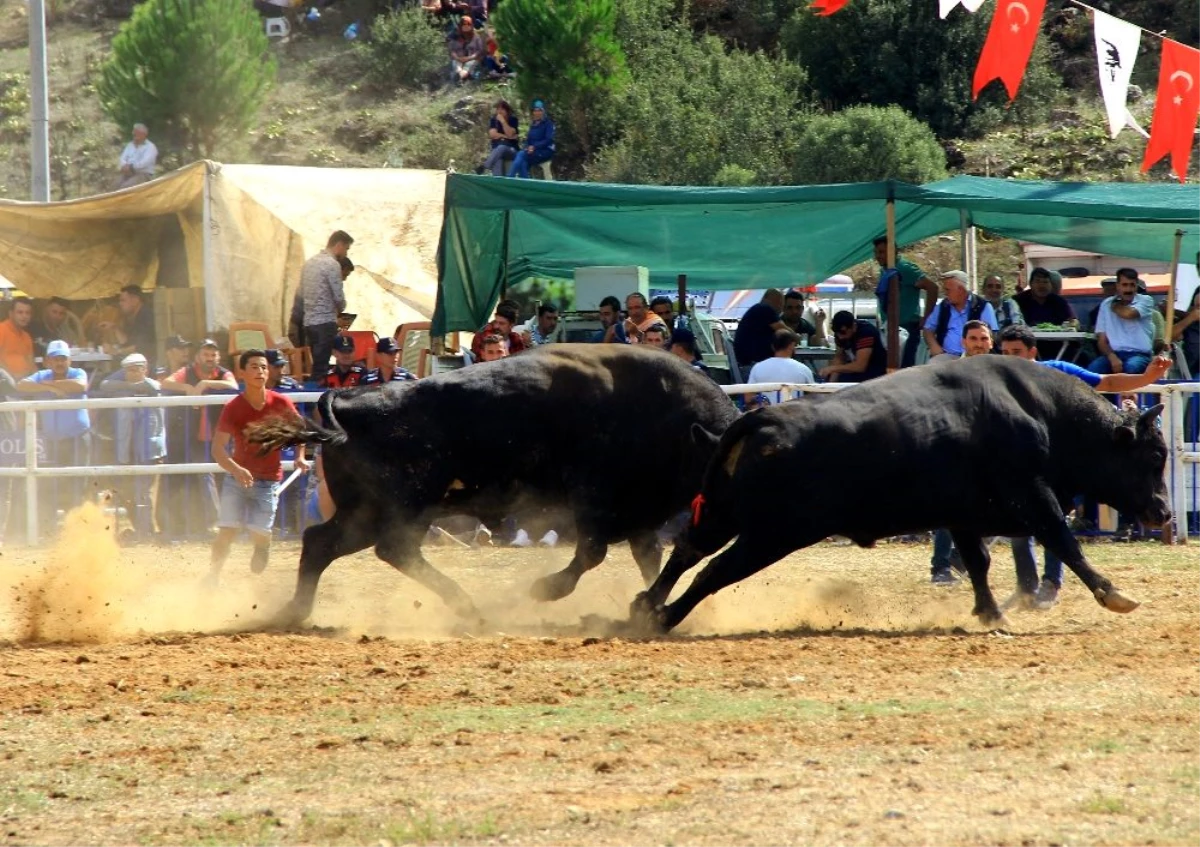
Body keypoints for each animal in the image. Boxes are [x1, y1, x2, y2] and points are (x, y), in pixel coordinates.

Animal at [250, 340, 739, 619]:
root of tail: (349, 398)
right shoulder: (594, 498)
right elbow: (592, 553)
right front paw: (544, 590)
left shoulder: (640, 517)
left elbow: (649, 558)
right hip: (404, 508)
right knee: (389, 549)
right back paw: (467, 606)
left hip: (367, 513)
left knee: (323, 543)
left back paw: (295, 612)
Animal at [633, 355, 1166, 633]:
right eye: (1154, 455)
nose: (1162, 511)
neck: (1038, 411)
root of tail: (759, 418)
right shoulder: (1034, 498)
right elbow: (1065, 543)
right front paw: (1114, 594)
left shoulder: (964, 515)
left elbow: (978, 563)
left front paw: (989, 613)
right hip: (773, 534)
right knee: (715, 570)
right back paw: (663, 617)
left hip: (723, 515)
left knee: (686, 551)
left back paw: (644, 605)